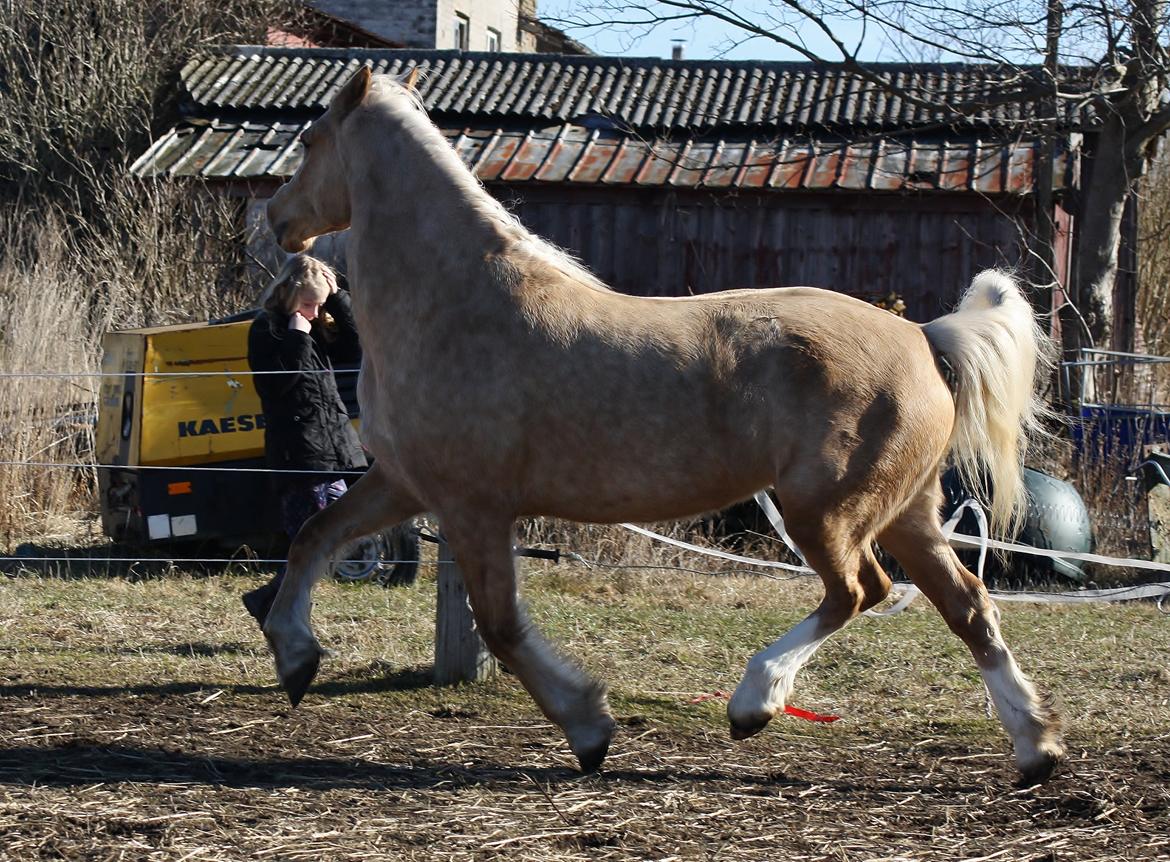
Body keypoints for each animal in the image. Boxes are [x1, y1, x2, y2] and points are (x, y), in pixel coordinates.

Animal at [267, 67, 1071, 781]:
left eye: (309, 139)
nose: (277, 220)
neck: (453, 303)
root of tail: (925, 338)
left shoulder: (473, 505)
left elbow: (500, 625)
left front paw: (589, 727)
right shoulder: (403, 481)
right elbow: (313, 537)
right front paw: (295, 658)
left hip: (824, 510)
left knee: (859, 592)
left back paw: (753, 704)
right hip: (907, 511)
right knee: (967, 604)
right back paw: (1035, 750)